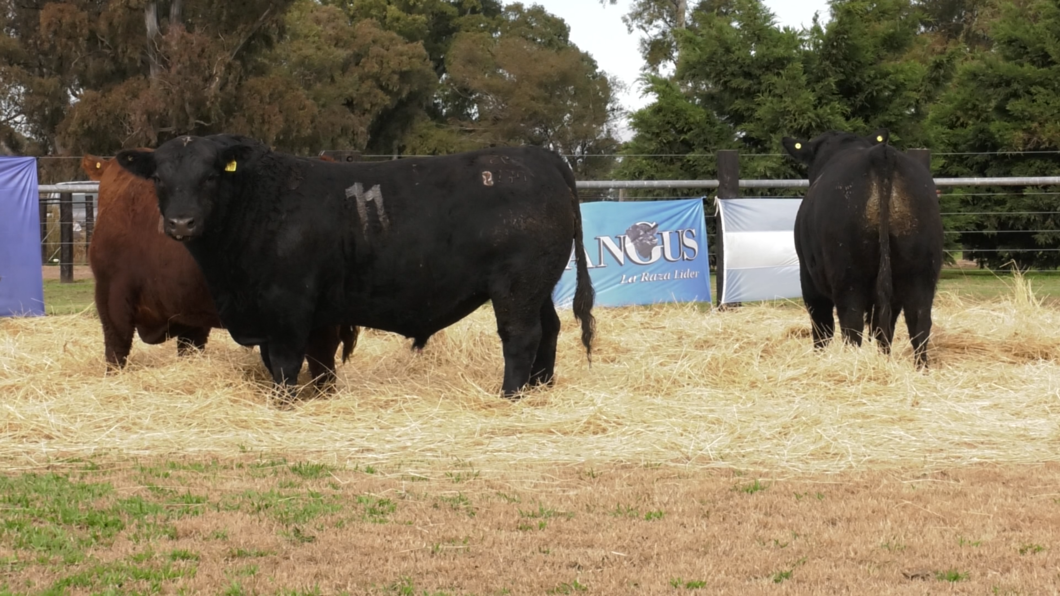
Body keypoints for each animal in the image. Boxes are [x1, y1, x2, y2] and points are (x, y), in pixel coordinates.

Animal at [119, 134, 597, 394]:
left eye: (211, 176)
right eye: (159, 178)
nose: (181, 222)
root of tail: (541, 156)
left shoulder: (288, 305)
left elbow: (286, 362)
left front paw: (284, 403)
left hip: (517, 285)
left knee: (521, 335)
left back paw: (510, 394)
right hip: (538, 285)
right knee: (550, 329)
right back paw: (540, 387)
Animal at [780, 128, 945, 366]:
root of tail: (881, 154)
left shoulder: (808, 277)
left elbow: (822, 327)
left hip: (848, 275)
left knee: (851, 326)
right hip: (921, 271)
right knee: (917, 324)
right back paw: (918, 368)